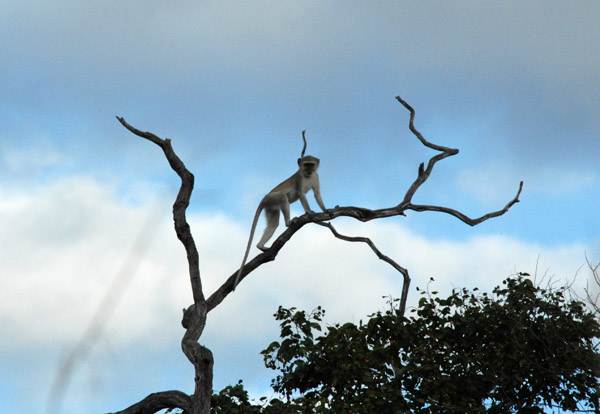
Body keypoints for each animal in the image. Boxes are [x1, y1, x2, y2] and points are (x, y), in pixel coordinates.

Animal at [233, 133, 328, 292]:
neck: (307, 176)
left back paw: (260, 246)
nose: (309, 170)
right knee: (283, 197)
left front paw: (326, 209)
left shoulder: (316, 177)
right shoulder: (300, 179)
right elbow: (302, 194)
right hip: (273, 198)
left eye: (311, 164)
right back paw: (288, 222)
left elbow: (317, 195)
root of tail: (264, 198)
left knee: (273, 224)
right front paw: (309, 212)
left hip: (270, 207)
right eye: (306, 164)